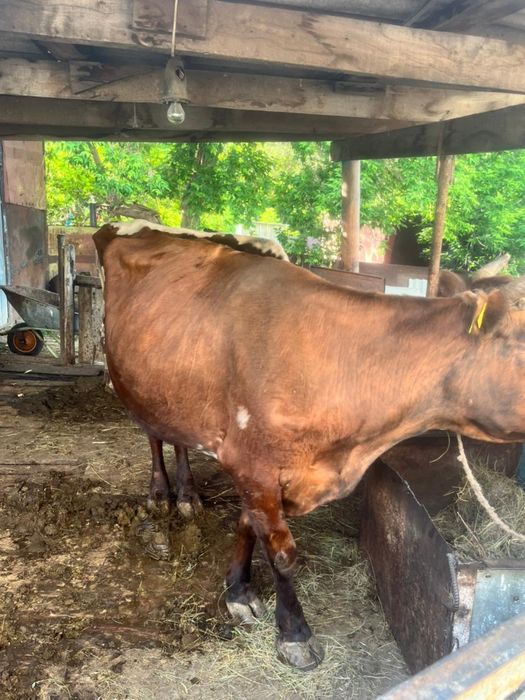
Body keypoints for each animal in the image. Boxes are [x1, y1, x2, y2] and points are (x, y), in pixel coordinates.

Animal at [94, 223, 525, 670]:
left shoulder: (262, 473)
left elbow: (247, 526)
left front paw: (239, 592)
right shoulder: (252, 466)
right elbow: (282, 554)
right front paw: (294, 633)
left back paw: (188, 496)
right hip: (131, 380)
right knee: (154, 434)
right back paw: (162, 494)